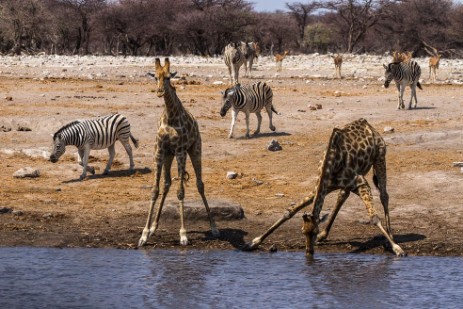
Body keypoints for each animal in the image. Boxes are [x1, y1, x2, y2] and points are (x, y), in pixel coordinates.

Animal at [139, 57, 220, 245]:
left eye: (169, 77)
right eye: (155, 77)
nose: (159, 91)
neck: (170, 116)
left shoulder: (180, 151)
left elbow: (181, 192)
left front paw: (183, 234)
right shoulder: (160, 151)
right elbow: (155, 190)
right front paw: (144, 234)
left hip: (195, 150)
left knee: (199, 184)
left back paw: (214, 228)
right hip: (169, 156)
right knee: (167, 183)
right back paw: (154, 227)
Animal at [245, 116, 408, 256]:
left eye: (314, 231)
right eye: (303, 231)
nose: (309, 252)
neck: (331, 163)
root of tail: (369, 125)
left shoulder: (361, 182)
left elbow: (373, 217)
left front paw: (398, 249)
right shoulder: (320, 188)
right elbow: (289, 212)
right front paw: (254, 242)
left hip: (380, 158)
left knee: (384, 195)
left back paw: (391, 237)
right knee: (342, 195)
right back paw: (324, 235)